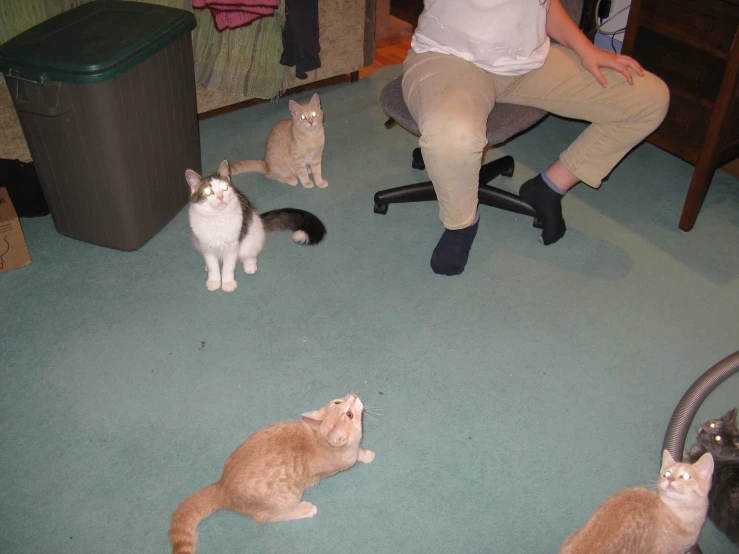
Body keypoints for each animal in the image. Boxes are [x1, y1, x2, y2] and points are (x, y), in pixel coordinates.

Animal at [186, 158, 326, 292]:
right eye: (207, 191)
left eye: (225, 187)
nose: (220, 197)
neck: (217, 219)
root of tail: (258, 217)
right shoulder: (206, 246)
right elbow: (213, 267)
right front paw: (214, 281)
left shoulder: (233, 246)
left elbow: (228, 268)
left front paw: (227, 283)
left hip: (250, 238)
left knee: (251, 254)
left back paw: (250, 266)